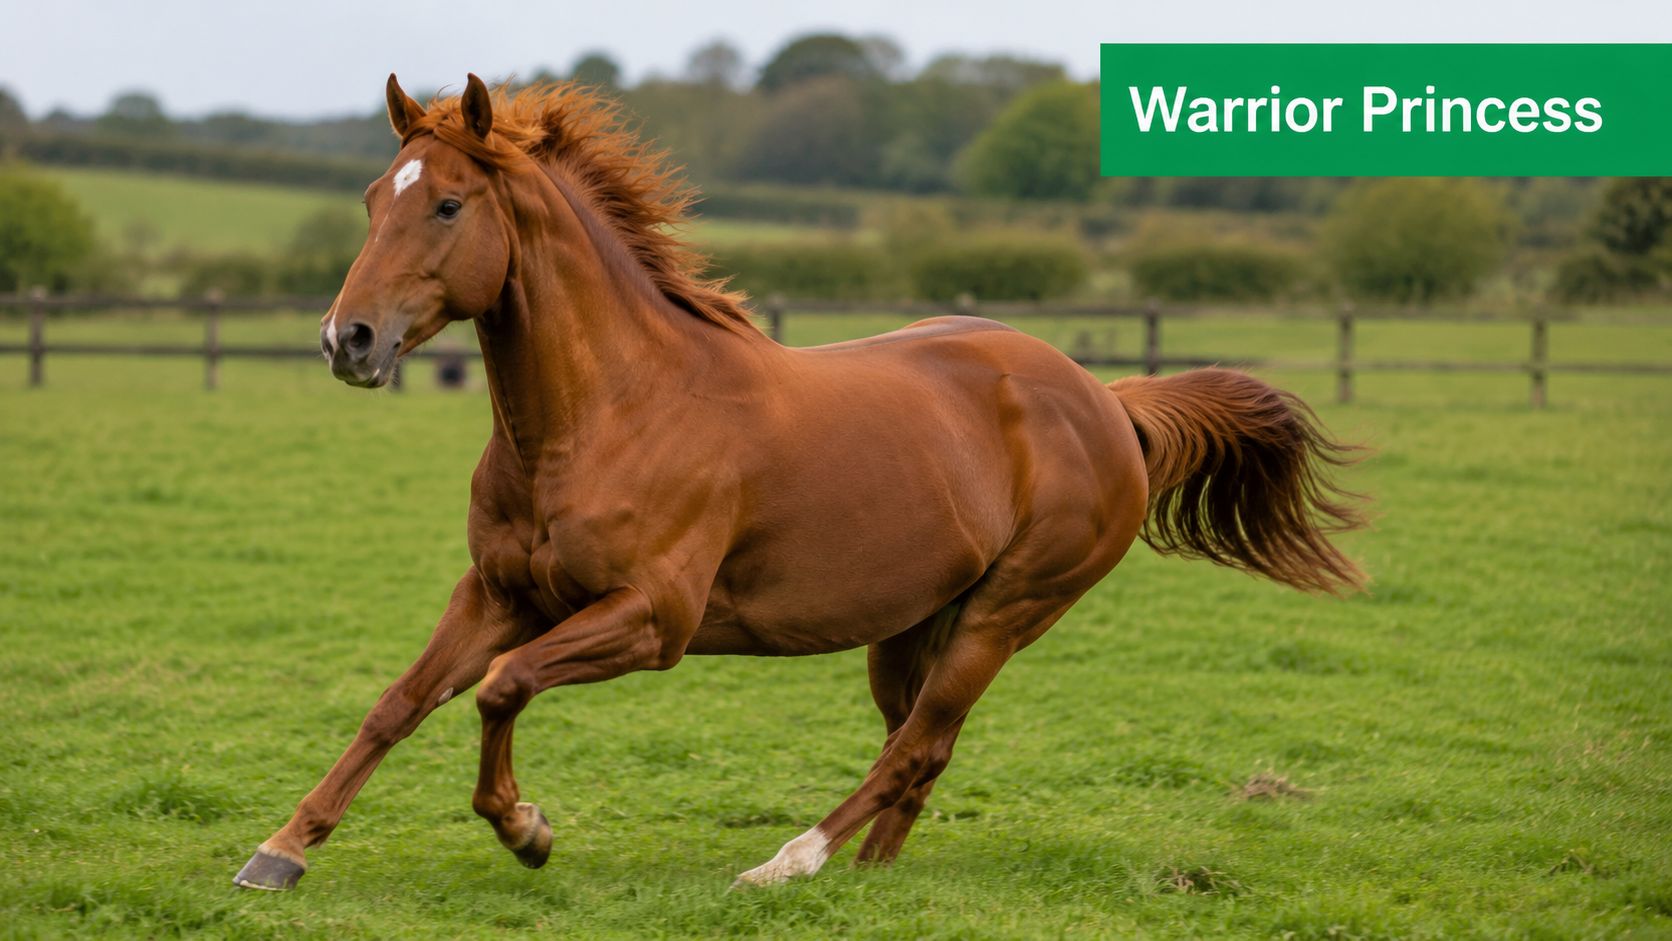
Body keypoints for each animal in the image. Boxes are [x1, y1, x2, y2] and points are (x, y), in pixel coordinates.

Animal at [234, 74, 1367, 892]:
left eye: (449, 204)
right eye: (374, 198)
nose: (347, 340)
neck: (607, 414)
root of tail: (1106, 396)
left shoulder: (651, 620)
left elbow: (501, 687)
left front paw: (528, 829)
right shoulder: (500, 592)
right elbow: (400, 701)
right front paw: (280, 850)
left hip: (1006, 611)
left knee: (915, 745)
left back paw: (787, 864)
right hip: (912, 623)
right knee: (921, 745)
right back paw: (867, 878)